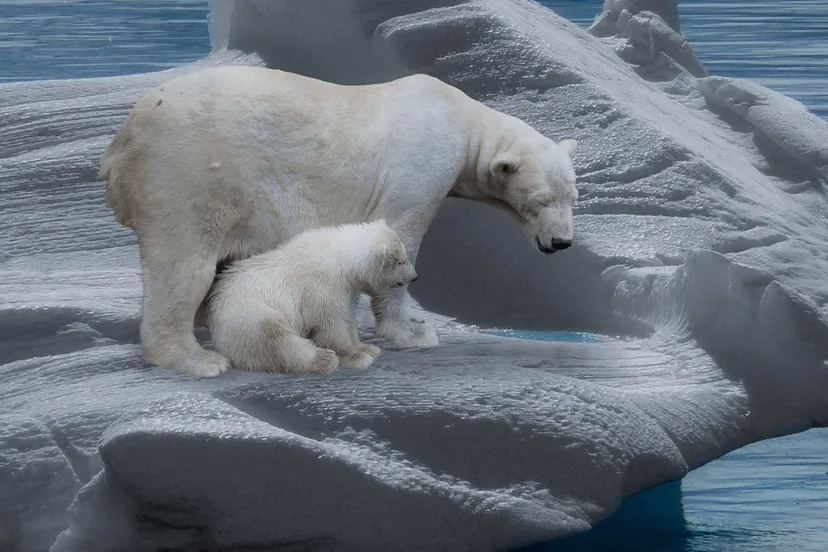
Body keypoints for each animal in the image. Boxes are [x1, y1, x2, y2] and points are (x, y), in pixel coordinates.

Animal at [206, 220, 417, 375]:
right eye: (401, 261)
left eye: (404, 256)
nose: (414, 277)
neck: (340, 259)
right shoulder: (323, 288)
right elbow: (331, 326)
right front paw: (357, 357)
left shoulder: (346, 290)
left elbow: (347, 319)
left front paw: (367, 347)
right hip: (250, 314)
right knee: (277, 341)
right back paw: (324, 359)